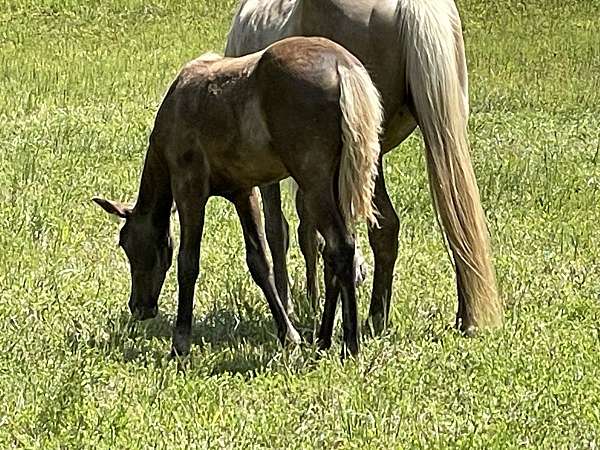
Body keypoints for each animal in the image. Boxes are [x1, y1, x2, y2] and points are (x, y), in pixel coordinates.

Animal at [94, 37, 384, 356]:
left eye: (126, 244)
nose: (139, 306)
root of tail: (342, 65)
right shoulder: (244, 192)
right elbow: (259, 262)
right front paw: (288, 335)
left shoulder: (189, 188)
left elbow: (188, 262)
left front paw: (180, 342)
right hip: (335, 184)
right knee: (336, 251)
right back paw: (323, 338)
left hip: (314, 182)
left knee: (340, 246)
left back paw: (350, 343)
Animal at [225, 0, 502, 336]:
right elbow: (310, 231)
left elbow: (279, 231)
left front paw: (290, 305)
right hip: (442, 131)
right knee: (457, 216)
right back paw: (464, 318)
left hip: (372, 151)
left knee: (386, 226)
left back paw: (375, 317)